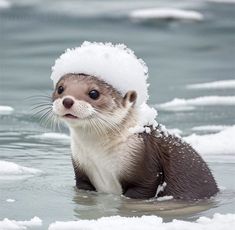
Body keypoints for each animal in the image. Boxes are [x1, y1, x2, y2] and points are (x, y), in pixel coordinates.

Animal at [51, 73, 218, 199]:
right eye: (60, 88)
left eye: (94, 93)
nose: (67, 101)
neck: (99, 156)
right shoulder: (81, 170)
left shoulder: (145, 167)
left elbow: (144, 187)